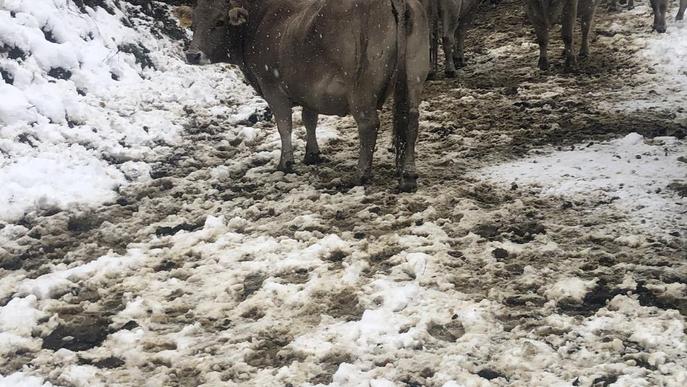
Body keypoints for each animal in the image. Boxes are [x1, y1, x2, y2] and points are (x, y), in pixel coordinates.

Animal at [185, 0, 428, 192]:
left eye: (219, 22)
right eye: (194, 24)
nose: (192, 54)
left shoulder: (273, 88)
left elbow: (284, 125)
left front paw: (286, 162)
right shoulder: (308, 91)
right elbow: (309, 120)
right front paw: (312, 154)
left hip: (361, 89)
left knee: (368, 125)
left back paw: (361, 174)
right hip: (413, 78)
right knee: (411, 119)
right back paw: (408, 175)